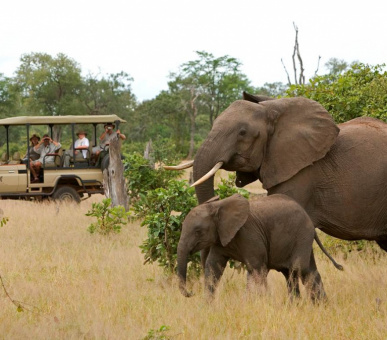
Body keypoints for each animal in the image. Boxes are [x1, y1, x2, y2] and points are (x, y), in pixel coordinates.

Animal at [177, 194, 340, 300]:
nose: (191, 293)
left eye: (198, 232)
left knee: (299, 269)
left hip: (302, 235)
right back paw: (316, 305)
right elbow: (213, 267)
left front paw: (254, 303)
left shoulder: (249, 234)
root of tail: (309, 220)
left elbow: (255, 268)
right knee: (303, 271)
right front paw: (207, 306)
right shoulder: (221, 236)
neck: (218, 206)